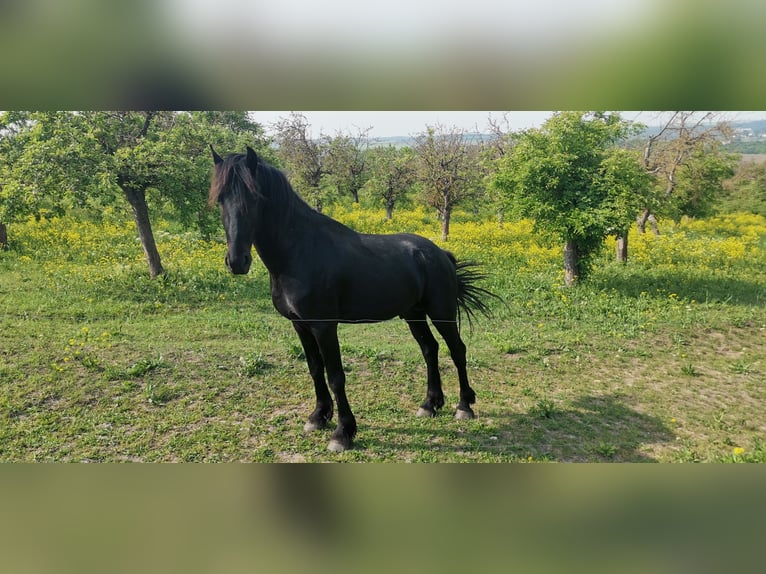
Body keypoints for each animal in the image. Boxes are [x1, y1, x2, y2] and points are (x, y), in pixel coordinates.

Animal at [210, 146, 498, 452]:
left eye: (254, 197)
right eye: (221, 198)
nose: (237, 262)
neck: (300, 252)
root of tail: (440, 253)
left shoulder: (324, 326)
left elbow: (336, 376)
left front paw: (342, 433)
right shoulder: (300, 325)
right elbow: (315, 369)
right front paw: (318, 417)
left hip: (441, 312)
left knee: (457, 350)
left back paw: (464, 406)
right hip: (413, 313)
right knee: (430, 349)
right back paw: (429, 404)